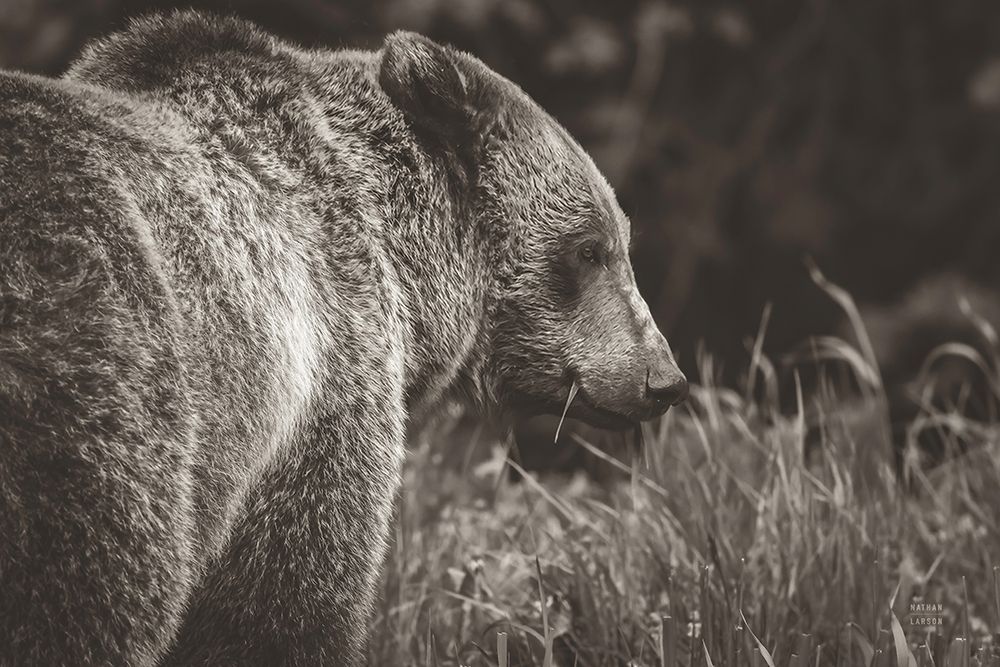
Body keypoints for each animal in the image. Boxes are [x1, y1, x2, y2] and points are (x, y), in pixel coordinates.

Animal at [0, 11, 688, 665]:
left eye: (618, 240)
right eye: (589, 249)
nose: (664, 379)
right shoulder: (323, 385)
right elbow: (286, 604)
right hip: (102, 377)